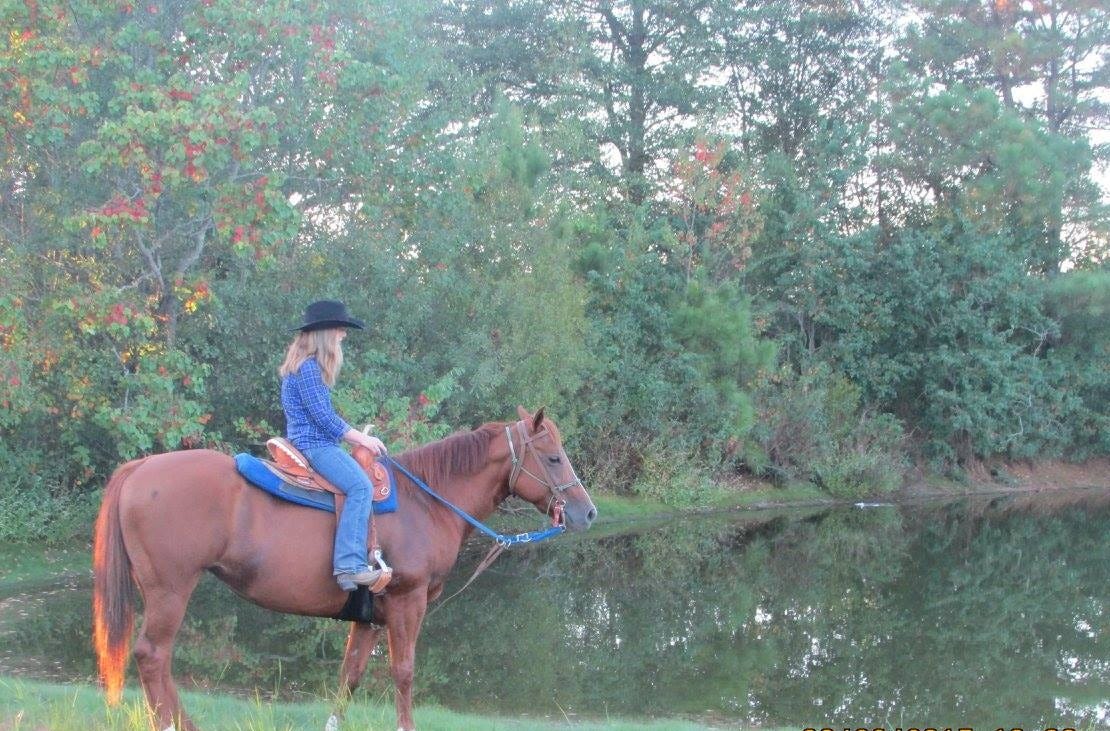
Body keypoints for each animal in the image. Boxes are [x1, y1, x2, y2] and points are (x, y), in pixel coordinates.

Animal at [92, 406, 596, 731]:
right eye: (553, 457)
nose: (586, 512)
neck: (426, 502)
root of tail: (140, 468)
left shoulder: (369, 615)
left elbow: (349, 676)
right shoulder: (407, 603)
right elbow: (403, 671)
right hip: (170, 590)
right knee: (152, 656)